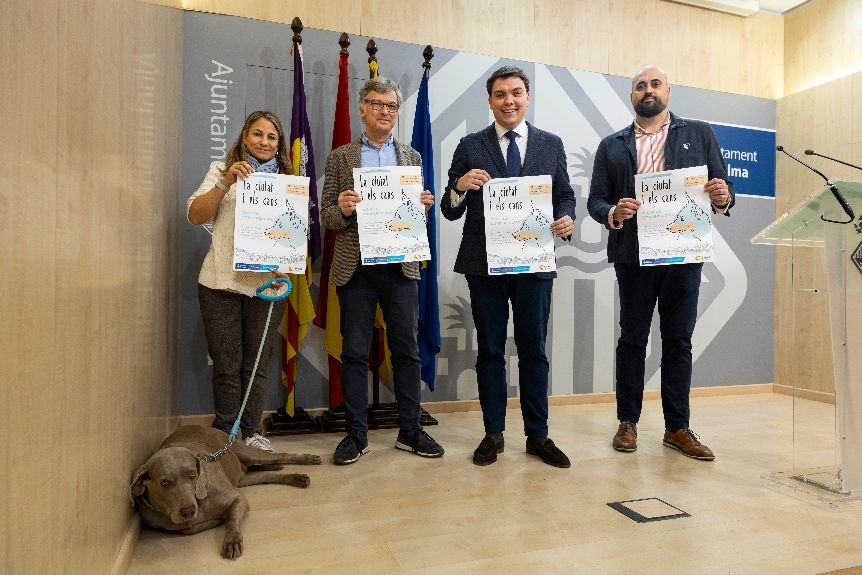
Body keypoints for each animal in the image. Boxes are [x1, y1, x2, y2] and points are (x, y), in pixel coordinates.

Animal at [133, 426, 322, 560]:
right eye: (164, 482)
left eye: (192, 474)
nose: (188, 511)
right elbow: (188, 529)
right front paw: (214, 521)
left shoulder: (238, 498)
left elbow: (231, 518)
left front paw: (232, 540)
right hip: (242, 479)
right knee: (268, 475)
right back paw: (296, 478)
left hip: (249, 454)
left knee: (282, 455)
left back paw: (307, 459)